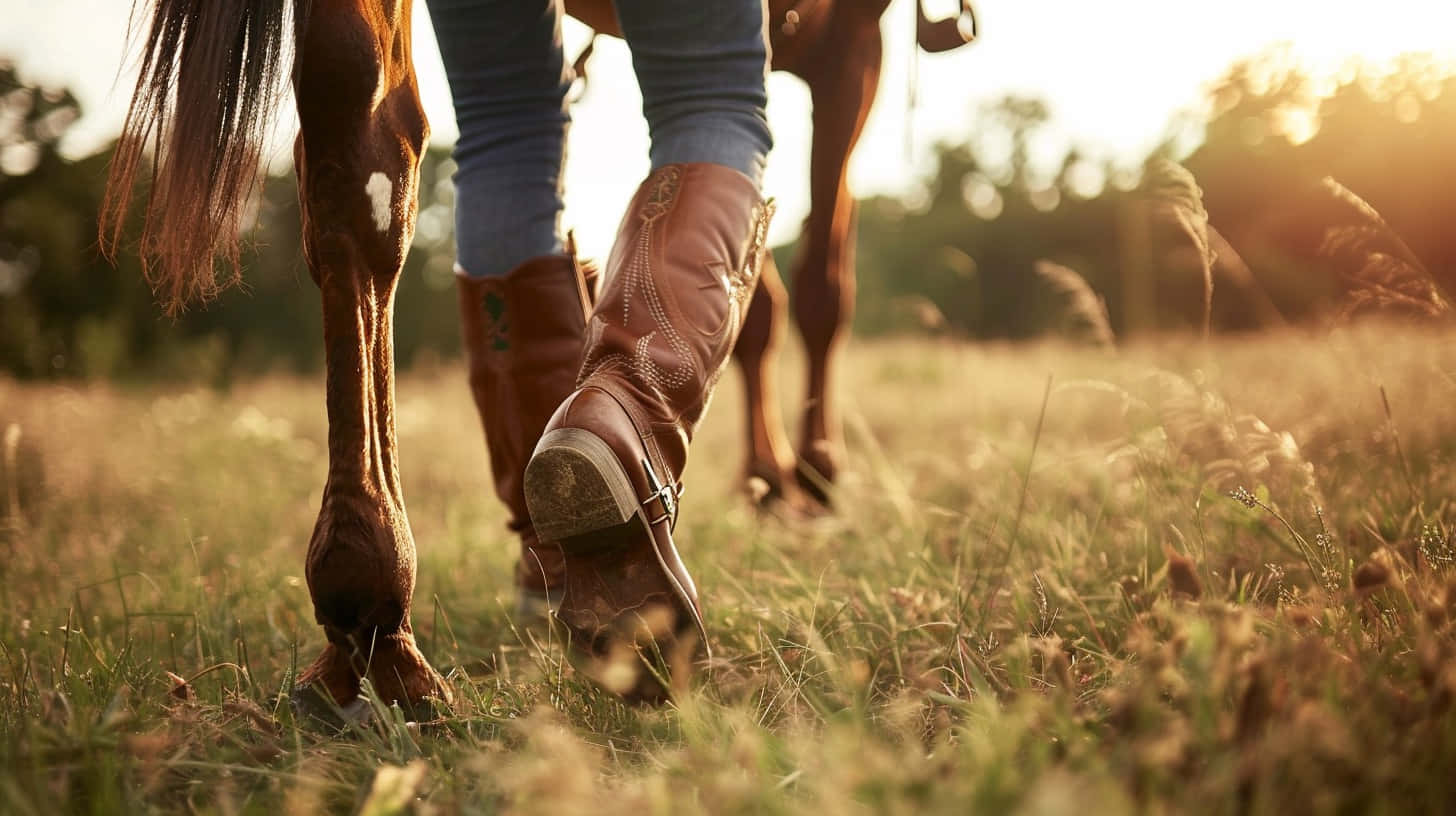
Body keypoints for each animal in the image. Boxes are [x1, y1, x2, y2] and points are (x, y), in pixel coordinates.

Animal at [102, 0, 978, 714]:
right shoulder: (852, 42)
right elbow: (820, 286)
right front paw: (809, 475)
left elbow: (767, 302)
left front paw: (776, 477)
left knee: (360, 158)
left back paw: (379, 624)